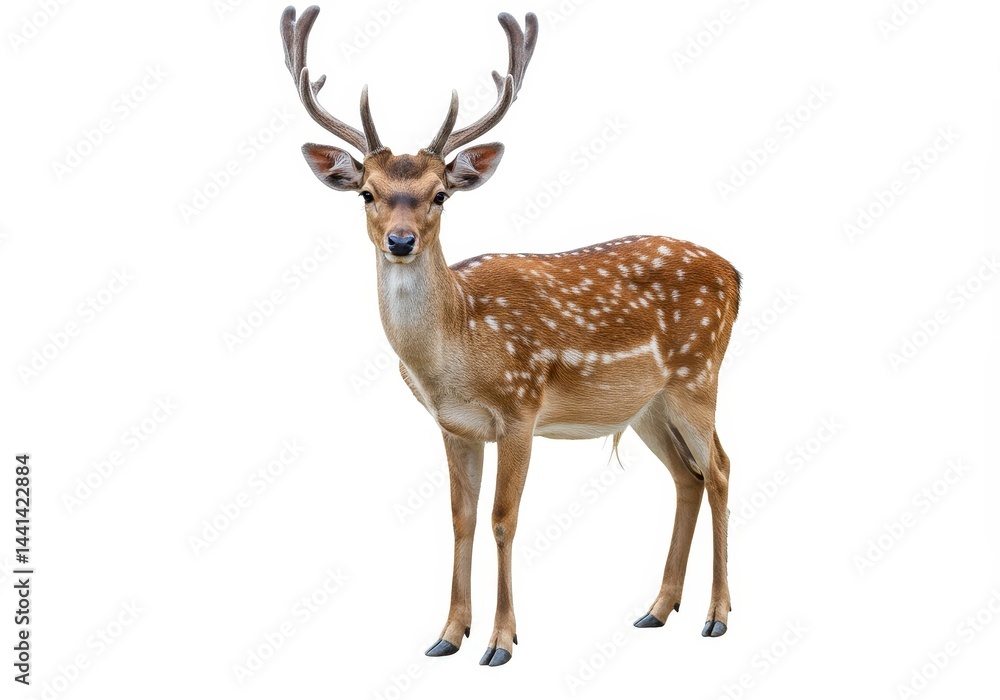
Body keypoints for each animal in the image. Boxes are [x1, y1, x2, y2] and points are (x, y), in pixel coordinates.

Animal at [280, 5, 741, 666]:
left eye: (440, 195)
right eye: (367, 192)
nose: (400, 240)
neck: (460, 347)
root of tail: (736, 272)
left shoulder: (522, 407)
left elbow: (504, 519)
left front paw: (501, 641)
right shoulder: (454, 425)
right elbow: (461, 519)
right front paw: (447, 635)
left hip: (697, 376)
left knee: (722, 468)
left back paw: (717, 615)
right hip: (647, 404)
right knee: (688, 477)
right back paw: (656, 609)